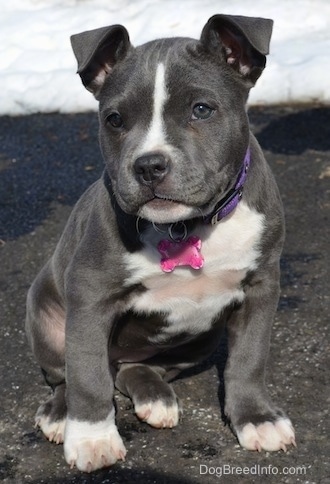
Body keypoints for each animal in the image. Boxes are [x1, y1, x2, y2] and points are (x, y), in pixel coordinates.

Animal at [25, 13, 296, 470]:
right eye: (114, 119)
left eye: (201, 109)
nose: (149, 165)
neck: (188, 226)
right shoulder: (90, 294)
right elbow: (87, 374)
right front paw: (93, 439)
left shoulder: (261, 287)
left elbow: (249, 359)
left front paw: (257, 419)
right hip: (46, 314)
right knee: (69, 374)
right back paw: (62, 414)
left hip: (200, 337)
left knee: (133, 368)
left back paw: (155, 396)